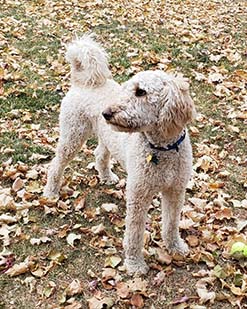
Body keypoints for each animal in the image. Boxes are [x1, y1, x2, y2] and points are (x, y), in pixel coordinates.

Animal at [43, 35, 196, 274]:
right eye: (126, 90)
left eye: (141, 92)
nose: (106, 113)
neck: (162, 148)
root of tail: (82, 81)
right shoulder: (138, 195)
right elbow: (134, 233)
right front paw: (134, 264)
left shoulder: (175, 191)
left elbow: (171, 223)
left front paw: (175, 247)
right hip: (73, 134)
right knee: (56, 163)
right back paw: (51, 192)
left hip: (105, 137)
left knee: (99, 154)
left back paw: (106, 176)